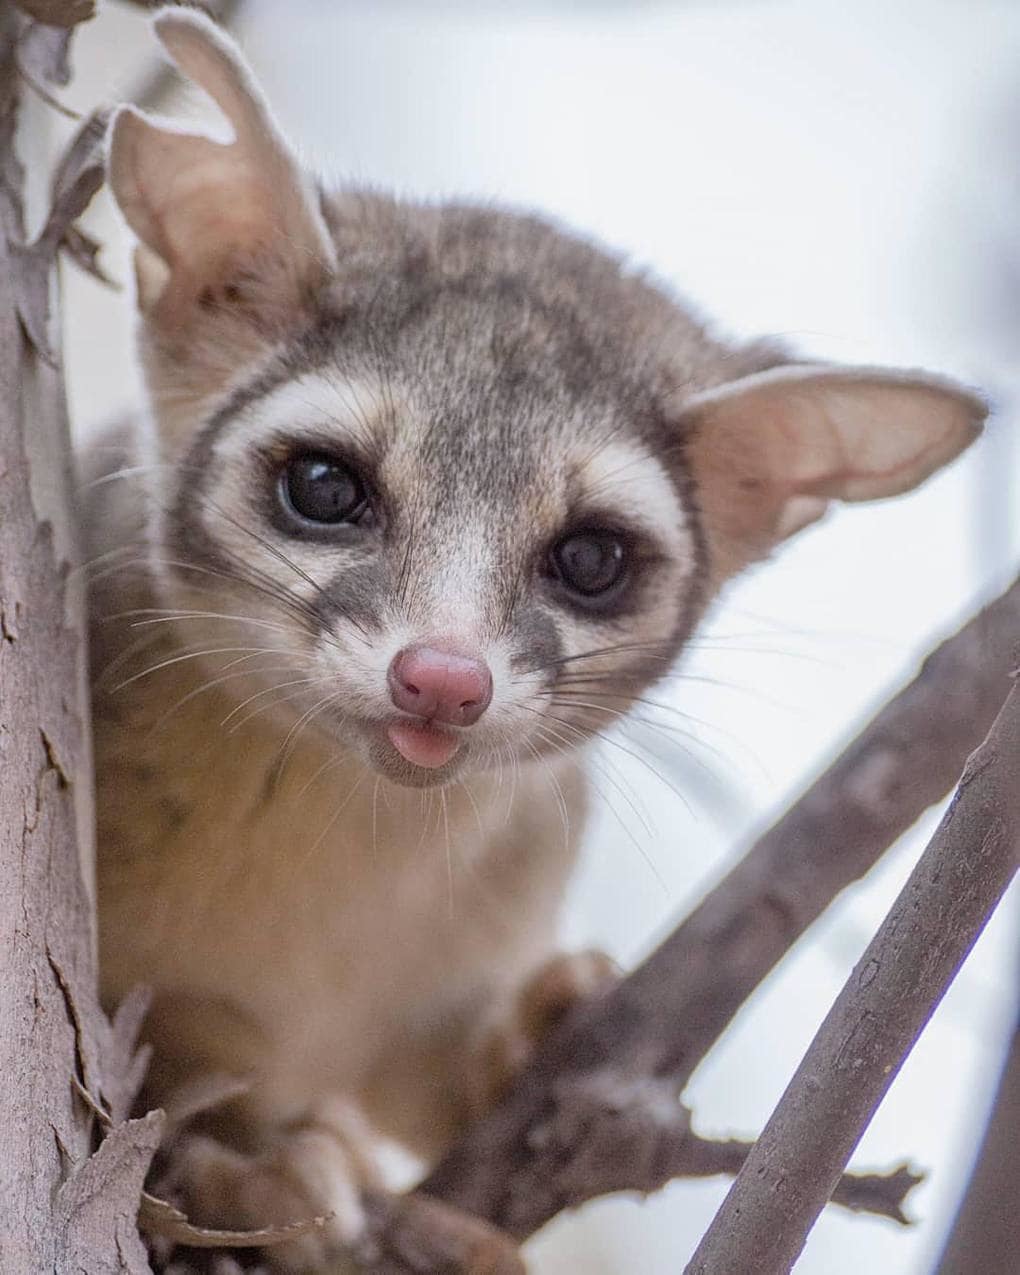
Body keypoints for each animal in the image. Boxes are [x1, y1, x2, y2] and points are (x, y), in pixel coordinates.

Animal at [89, 4, 989, 1269]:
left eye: (592, 561)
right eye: (323, 487)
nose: (443, 680)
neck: (345, 858)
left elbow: (445, 1081)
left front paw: (528, 1037)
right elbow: (177, 1066)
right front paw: (264, 1166)